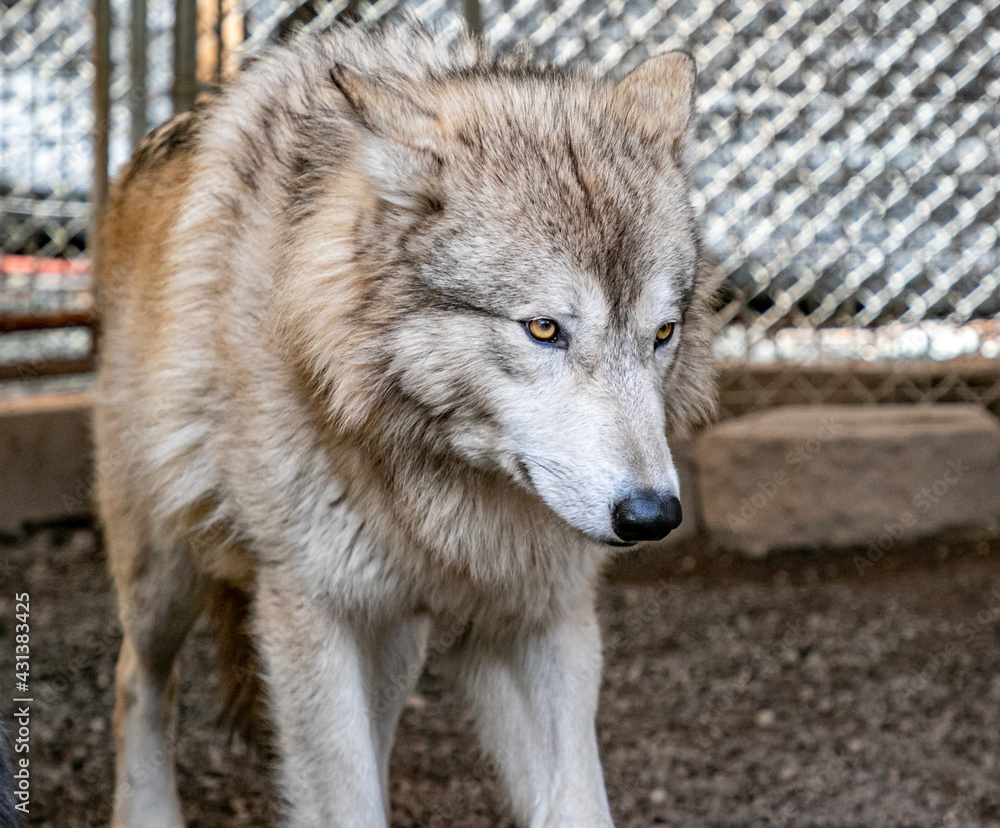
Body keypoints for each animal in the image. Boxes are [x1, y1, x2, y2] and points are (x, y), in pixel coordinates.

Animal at [95, 20, 716, 828]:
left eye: (662, 333)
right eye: (544, 328)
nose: (652, 516)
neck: (442, 482)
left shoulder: (540, 619)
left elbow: (579, 800)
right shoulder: (312, 612)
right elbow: (344, 801)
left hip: (395, 641)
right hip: (168, 569)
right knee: (136, 680)